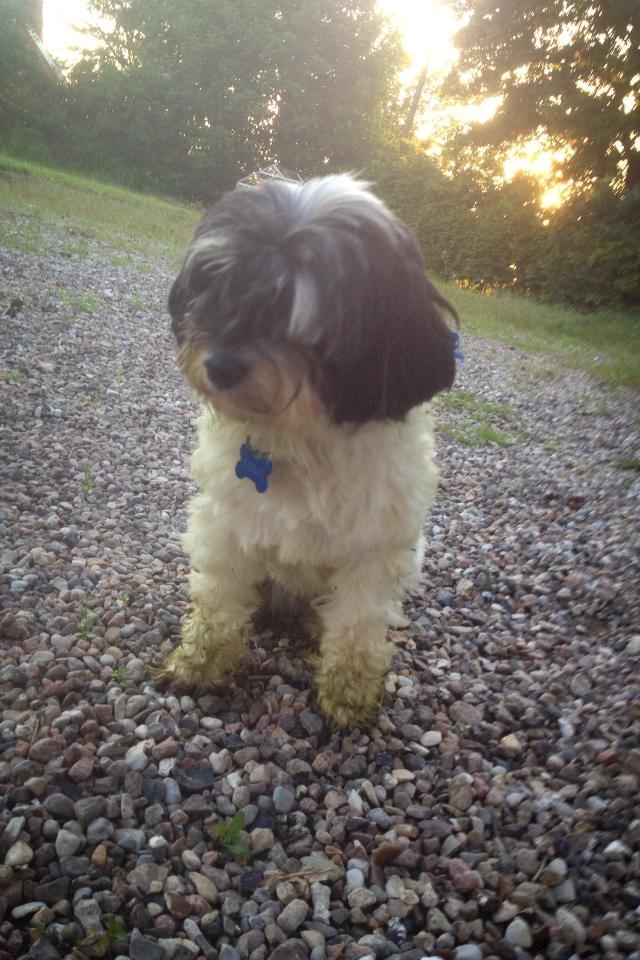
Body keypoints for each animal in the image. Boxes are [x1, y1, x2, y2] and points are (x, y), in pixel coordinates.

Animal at [162, 172, 458, 728]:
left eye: (299, 314)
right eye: (219, 283)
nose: (220, 365)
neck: (300, 439)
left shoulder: (374, 550)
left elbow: (358, 624)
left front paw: (348, 693)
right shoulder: (226, 524)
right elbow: (217, 602)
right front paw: (199, 664)